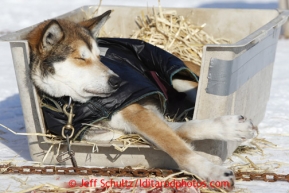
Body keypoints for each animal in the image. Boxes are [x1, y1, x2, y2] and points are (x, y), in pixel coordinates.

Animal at [27, 10, 255, 188]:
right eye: (80, 58)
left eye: (99, 56)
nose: (118, 81)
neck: (76, 104)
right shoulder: (124, 125)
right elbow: (181, 133)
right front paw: (229, 131)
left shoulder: (136, 111)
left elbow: (178, 143)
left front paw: (213, 171)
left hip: (179, 79)